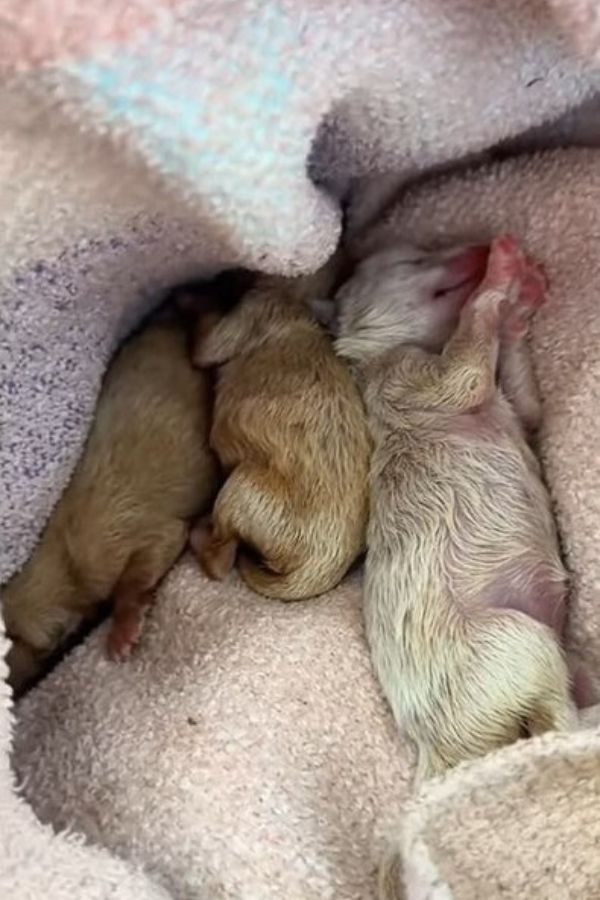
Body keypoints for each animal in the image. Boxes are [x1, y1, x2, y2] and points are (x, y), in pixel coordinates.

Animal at [191, 264, 370, 600]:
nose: (220, 277)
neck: (299, 301)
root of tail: (315, 571)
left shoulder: (251, 311)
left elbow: (204, 342)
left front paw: (188, 299)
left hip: (241, 486)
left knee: (221, 558)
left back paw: (198, 534)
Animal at [336, 237, 576, 780]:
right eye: (414, 259)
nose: (481, 246)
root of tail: (439, 754)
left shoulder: (513, 403)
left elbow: (526, 403)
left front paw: (519, 302)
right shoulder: (406, 377)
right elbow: (465, 369)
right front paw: (502, 276)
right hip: (512, 641)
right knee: (555, 724)